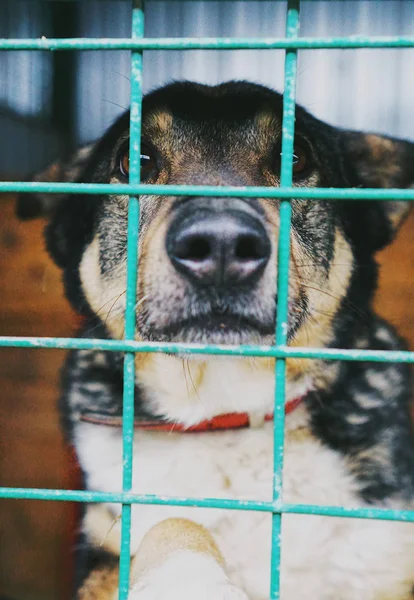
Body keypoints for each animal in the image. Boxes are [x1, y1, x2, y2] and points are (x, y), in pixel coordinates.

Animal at [17, 81, 414, 600]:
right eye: (133, 160)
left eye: (297, 158)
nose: (221, 245)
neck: (224, 407)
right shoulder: (104, 547)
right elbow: (173, 523)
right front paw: (187, 577)